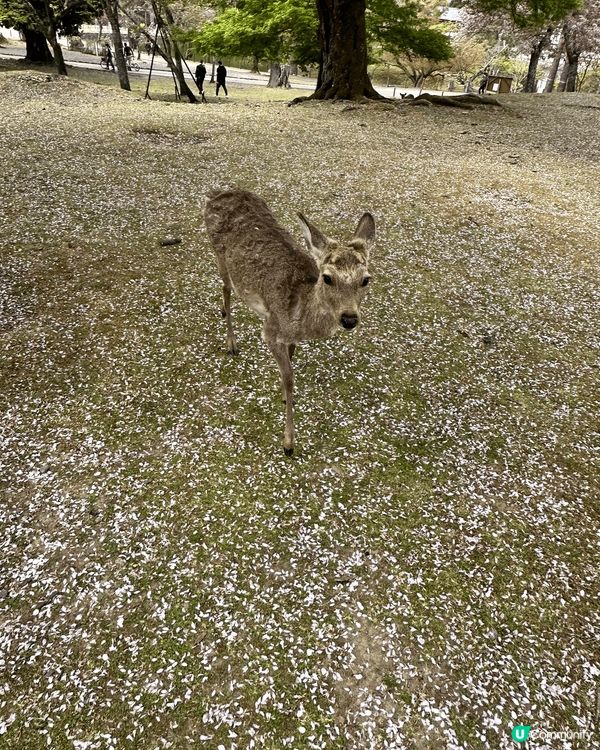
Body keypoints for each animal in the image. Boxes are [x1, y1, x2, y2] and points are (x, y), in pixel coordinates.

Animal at [204, 188, 376, 456]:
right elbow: (290, 378)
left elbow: (290, 363)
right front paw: (288, 442)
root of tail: (216, 194)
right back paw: (231, 342)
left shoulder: (291, 337)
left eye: (366, 279)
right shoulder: (270, 330)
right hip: (219, 253)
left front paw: (284, 397)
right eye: (327, 278)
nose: (349, 318)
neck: (300, 316)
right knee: (226, 287)